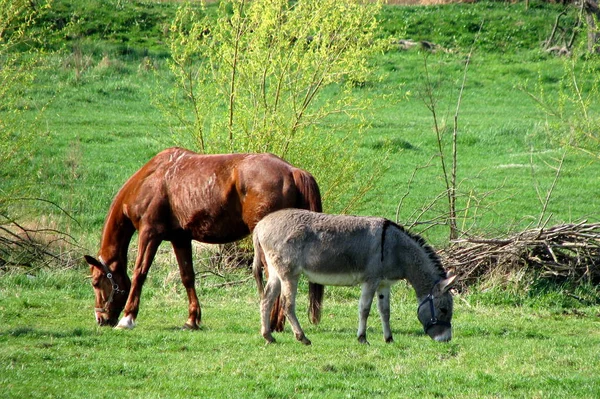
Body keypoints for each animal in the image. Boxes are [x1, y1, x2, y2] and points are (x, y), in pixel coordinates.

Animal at [83, 147, 324, 332]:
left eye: (96, 282)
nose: (101, 319)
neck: (151, 180)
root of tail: (291, 170)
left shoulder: (149, 234)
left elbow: (140, 273)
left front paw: (128, 318)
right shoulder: (180, 238)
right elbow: (187, 276)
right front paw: (192, 320)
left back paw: (274, 324)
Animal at [252, 209, 454, 346]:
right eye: (443, 310)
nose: (446, 340)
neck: (394, 247)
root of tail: (260, 225)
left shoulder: (384, 284)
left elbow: (385, 311)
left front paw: (389, 338)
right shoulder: (370, 281)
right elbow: (364, 309)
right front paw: (362, 338)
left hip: (276, 273)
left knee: (266, 299)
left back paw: (268, 336)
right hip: (289, 274)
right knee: (287, 304)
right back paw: (302, 338)